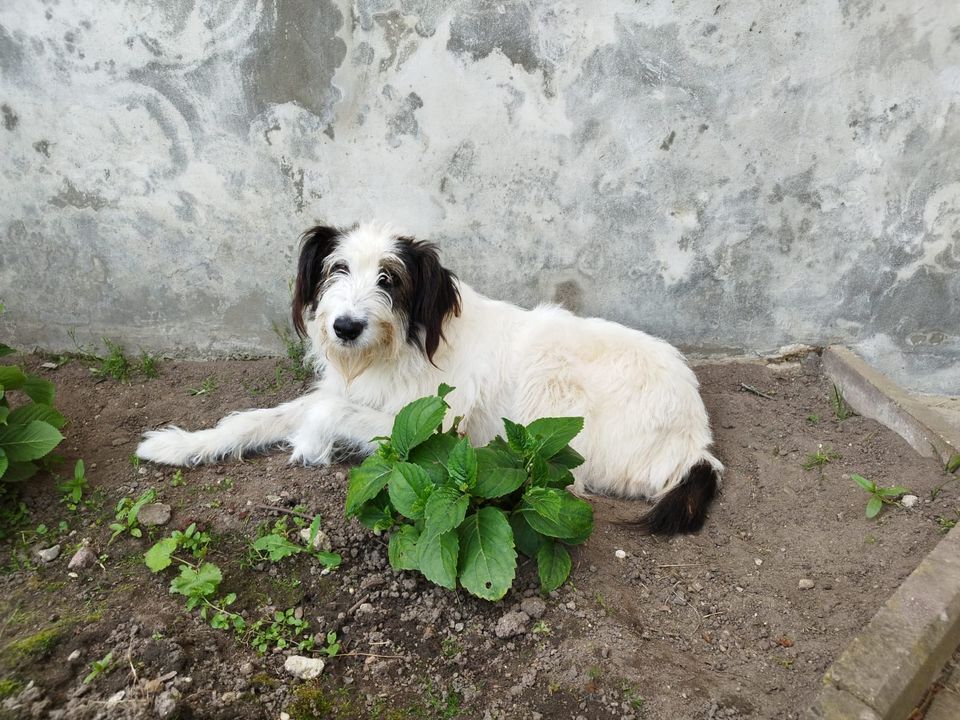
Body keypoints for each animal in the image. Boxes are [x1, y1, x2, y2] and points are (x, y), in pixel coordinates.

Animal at [135, 224, 720, 536]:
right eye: (336, 269)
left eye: (389, 278)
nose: (345, 327)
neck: (402, 345)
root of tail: (697, 440)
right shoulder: (347, 389)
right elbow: (257, 418)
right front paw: (181, 445)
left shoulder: (426, 427)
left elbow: (323, 414)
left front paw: (310, 445)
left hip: (550, 380)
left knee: (559, 481)